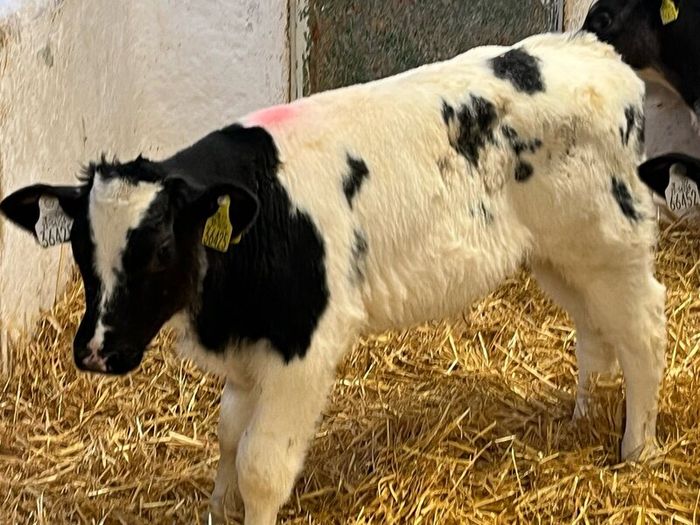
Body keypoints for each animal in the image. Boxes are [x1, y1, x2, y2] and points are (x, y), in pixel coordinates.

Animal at [0, 32, 666, 524]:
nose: (94, 351)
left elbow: (260, 465)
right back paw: (581, 417)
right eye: (81, 249)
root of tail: (599, 56)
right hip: (559, 256)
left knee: (643, 334)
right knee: (594, 329)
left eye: (161, 248)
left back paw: (636, 449)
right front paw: (218, 507)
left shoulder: (305, 345)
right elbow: (227, 435)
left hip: (611, 242)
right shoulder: (250, 344)